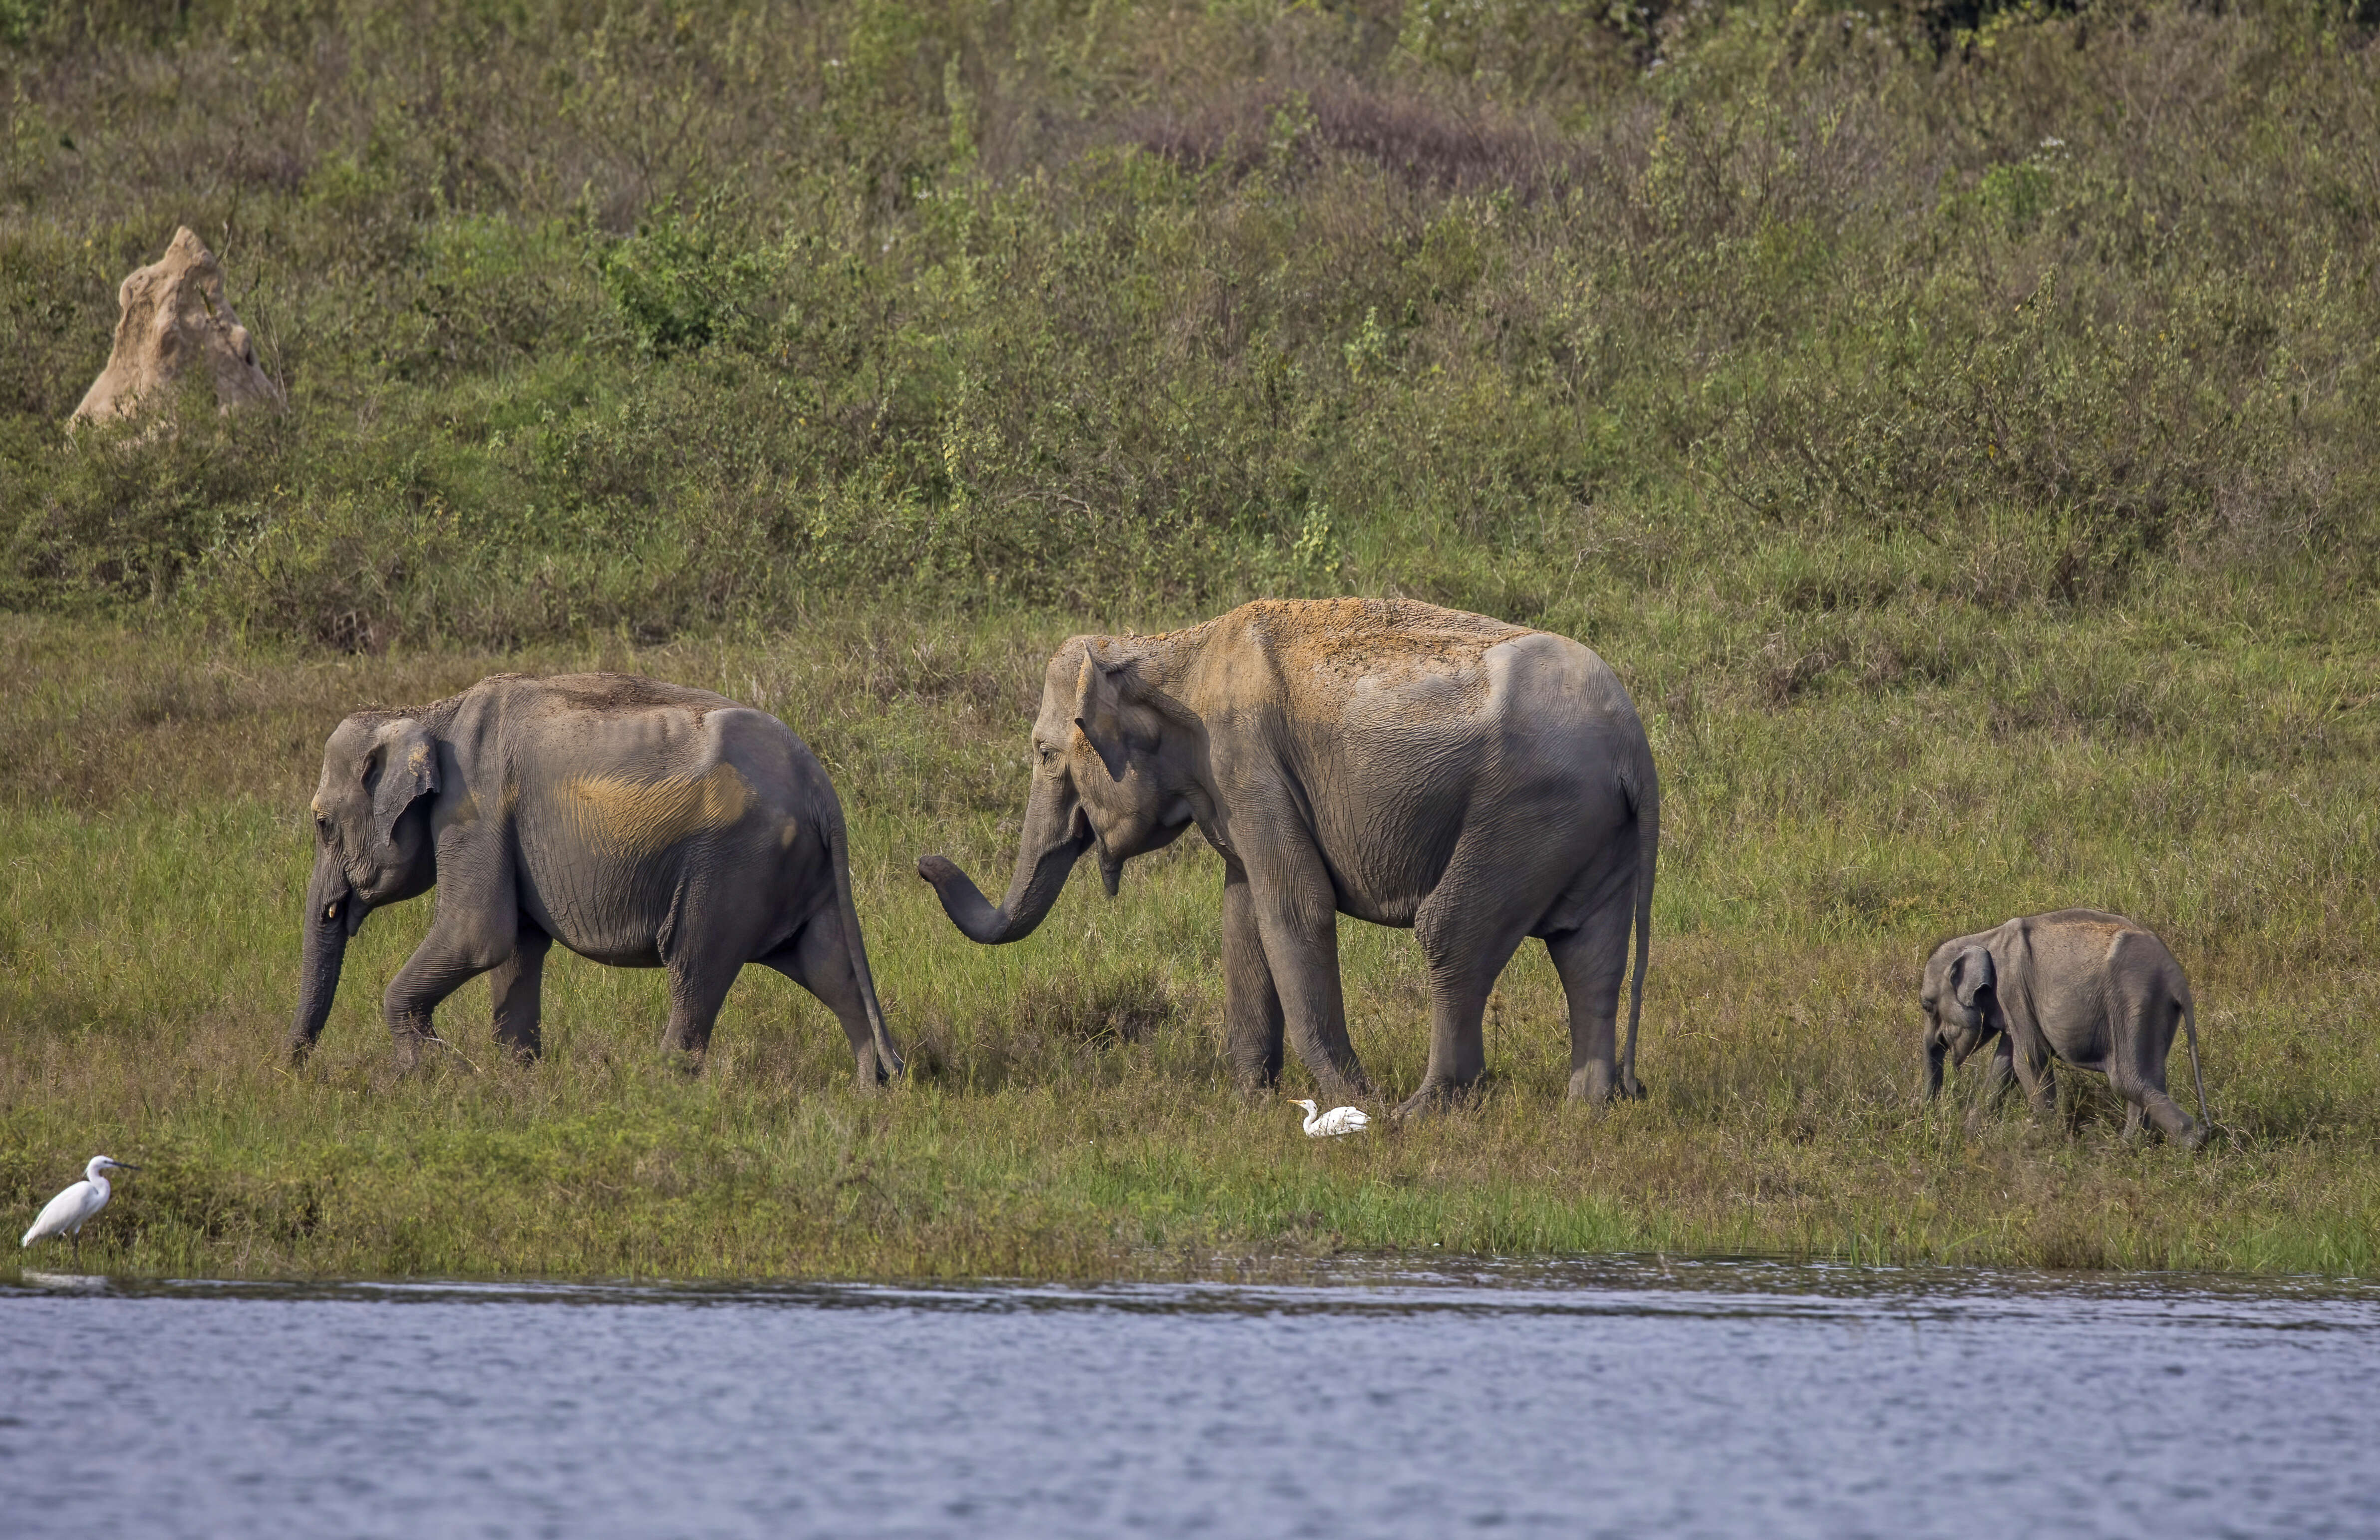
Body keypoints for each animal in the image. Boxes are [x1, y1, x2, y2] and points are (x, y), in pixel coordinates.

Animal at [288, 676, 899, 1085]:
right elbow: (516, 948)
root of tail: (819, 784)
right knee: (830, 968)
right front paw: (516, 1080)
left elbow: (478, 934)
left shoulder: (473, 810)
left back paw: (659, 1089)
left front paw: (426, 1074)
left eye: (322, 824)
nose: (295, 1070)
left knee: (696, 964)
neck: (430, 711)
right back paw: (872, 1091)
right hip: (792, 869)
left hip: (734, 864)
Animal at [909, 597, 1656, 1114]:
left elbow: (1295, 909)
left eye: (1042, 752)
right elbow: (1241, 917)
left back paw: (1420, 1111)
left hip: (1528, 810)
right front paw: (1249, 1101)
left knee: (1452, 931)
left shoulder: (1247, 763)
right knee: (1589, 952)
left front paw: (1354, 1104)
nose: (923, 862)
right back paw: (1585, 1108)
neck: (1170, 649)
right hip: (1587, 828)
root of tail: (1635, 749)